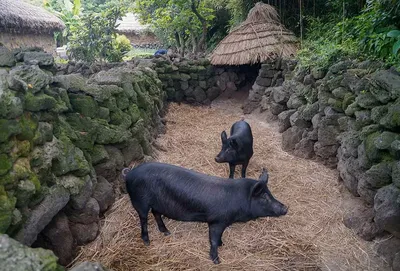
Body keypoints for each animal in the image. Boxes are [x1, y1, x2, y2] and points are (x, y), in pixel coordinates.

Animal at [122, 163, 288, 264]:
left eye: (270, 193)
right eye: (264, 197)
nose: (285, 208)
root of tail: (129, 173)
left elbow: (219, 237)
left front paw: (222, 244)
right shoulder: (217, 221)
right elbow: (213, 240)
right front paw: (217, 261)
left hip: (158, 204)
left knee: (156, 213)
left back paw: (166, 232)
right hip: (140, 201)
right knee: (143, 218)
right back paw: (147, 241)